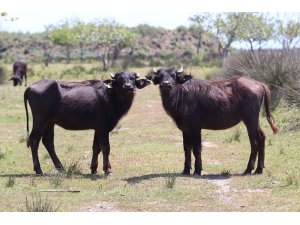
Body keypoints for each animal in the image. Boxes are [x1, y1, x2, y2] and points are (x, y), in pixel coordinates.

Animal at [146, 67, 278, 176]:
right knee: (262, 137)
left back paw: (249, 169)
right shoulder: (185, 129)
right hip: (254, 121)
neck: (181, 95)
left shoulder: (196, 128)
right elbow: (186, 148)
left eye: (174, 75)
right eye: (160, 76)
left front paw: (197, 170)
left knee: (255, 142)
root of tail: (259, 83)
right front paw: (186, 170)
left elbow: (197, 148)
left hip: (250, 120)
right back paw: (259, 169)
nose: (165, 84)